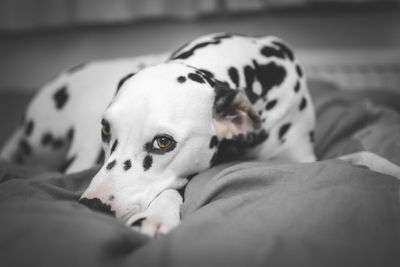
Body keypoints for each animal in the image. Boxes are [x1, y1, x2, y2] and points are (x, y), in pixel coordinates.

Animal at [0, 33, 400, 237]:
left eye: (163, 142)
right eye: (106, 129)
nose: (92, 206)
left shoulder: (303, 160)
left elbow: (362, 156)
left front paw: (388, 169)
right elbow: (171, 191)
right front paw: (157, 217)